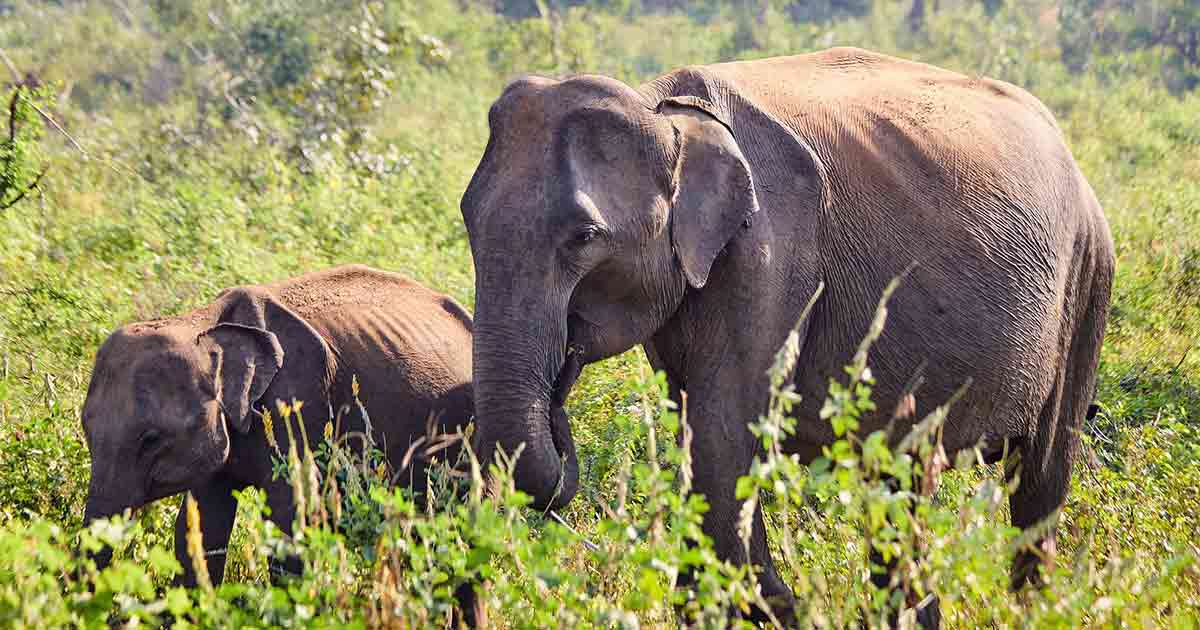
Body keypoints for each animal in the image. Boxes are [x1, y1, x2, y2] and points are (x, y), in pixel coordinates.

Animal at [76, 262, 472, 602]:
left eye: (151, 439)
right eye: (86, 431)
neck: (203, 325)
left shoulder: (296, 404)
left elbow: (289, 520)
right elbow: (202, 528)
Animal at [460, 45, 1113, 624]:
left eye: (584, 237)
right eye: (467, 219)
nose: (562, 380)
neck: (665, 111)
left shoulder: (773, 252)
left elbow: (722, 443)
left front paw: (774, 601)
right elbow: (701, 436)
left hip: (1087, 281)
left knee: (1040, 483)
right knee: (900, 487)